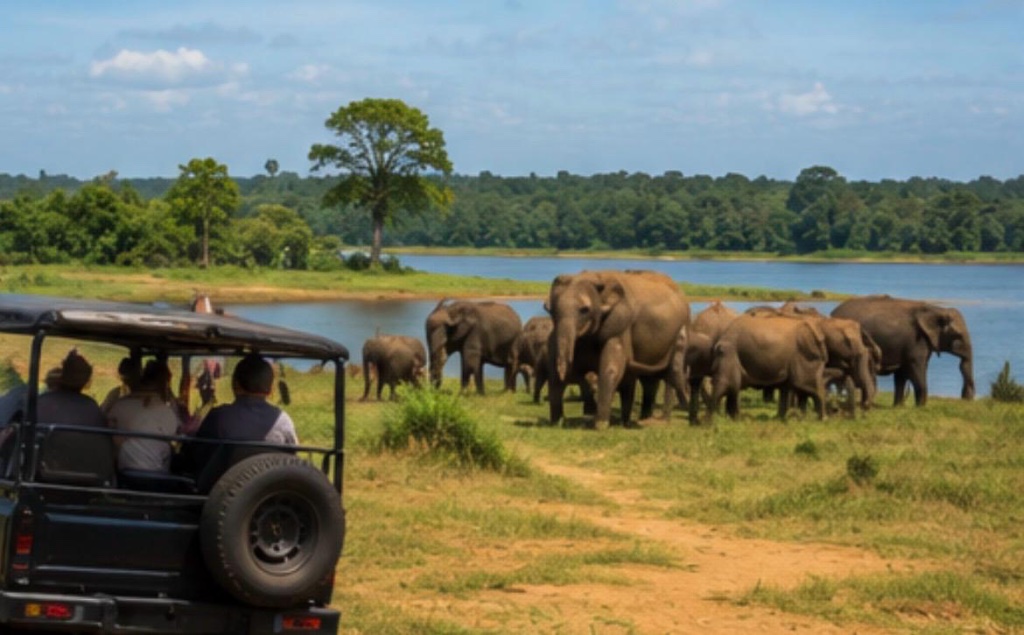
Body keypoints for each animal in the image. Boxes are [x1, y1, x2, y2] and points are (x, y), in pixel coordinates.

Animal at [545, 270, 690, 429]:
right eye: (550, 310)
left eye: (584, 310)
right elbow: (553, 368)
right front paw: (556, 423)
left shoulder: (620, 324)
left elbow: (611, 368)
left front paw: (600, 425)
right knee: (648, 380)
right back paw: (640, 419)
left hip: (683, 328)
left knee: (669, 374)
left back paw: (659, 421)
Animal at [831, 295, 974, 406]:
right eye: (958, 336)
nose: (966, 398)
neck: (936, 310)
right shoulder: (916, 341)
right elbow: (917, 369)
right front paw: (920, 408)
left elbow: (902, 374)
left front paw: (898, 407)